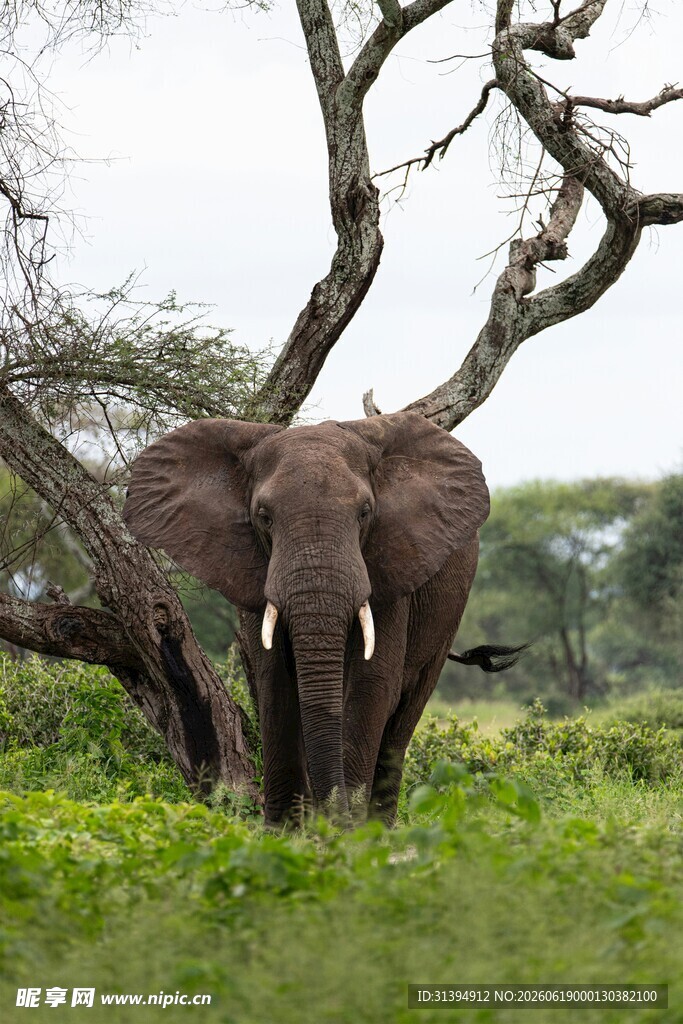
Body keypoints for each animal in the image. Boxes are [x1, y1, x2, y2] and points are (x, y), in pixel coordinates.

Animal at [123, 411, 519, 826]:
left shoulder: (391, 569)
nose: (333, 821)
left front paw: (352, 833)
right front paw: (284, 831)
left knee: (407, 711)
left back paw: (381, 826)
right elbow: (275, 681)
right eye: (264, 517)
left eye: (365, 513)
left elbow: (371, 684)